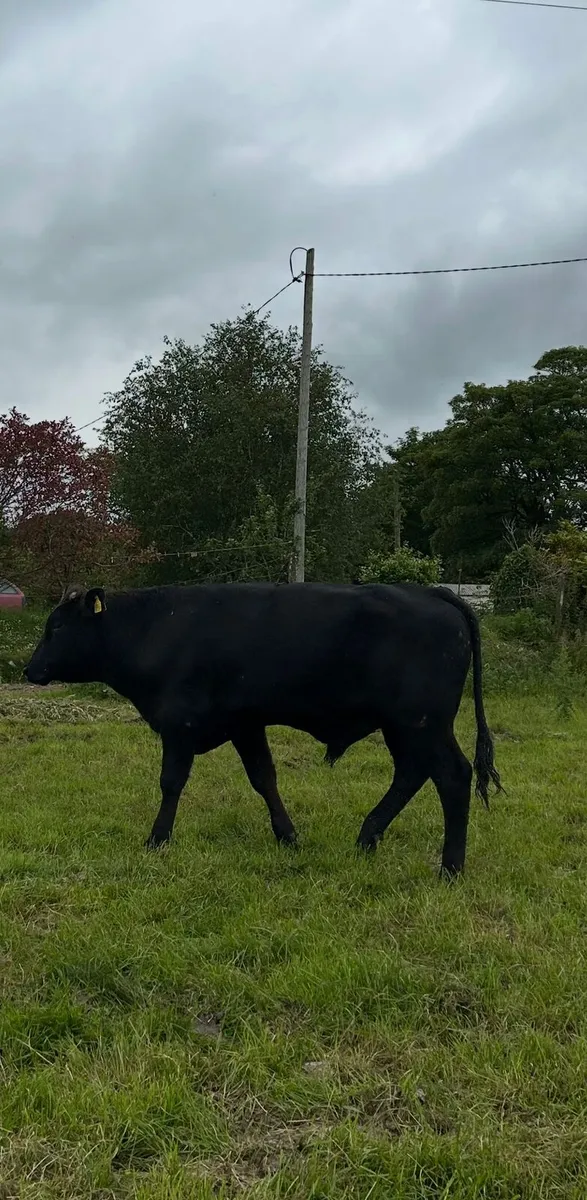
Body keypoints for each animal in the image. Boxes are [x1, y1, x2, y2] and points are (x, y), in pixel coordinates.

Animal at [24, 582, 501, 876]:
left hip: (423, 723)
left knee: (451, 776)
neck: (155, 628)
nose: (29, 669)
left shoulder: (180, 724)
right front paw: (287, 835)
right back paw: (368, 838)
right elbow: (264, 778)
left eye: (57, 627)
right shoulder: (246, 723)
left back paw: (450, 867)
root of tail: (431, 592)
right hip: (405, 726)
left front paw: (157, 838)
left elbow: (171, 782)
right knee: (411, 774)